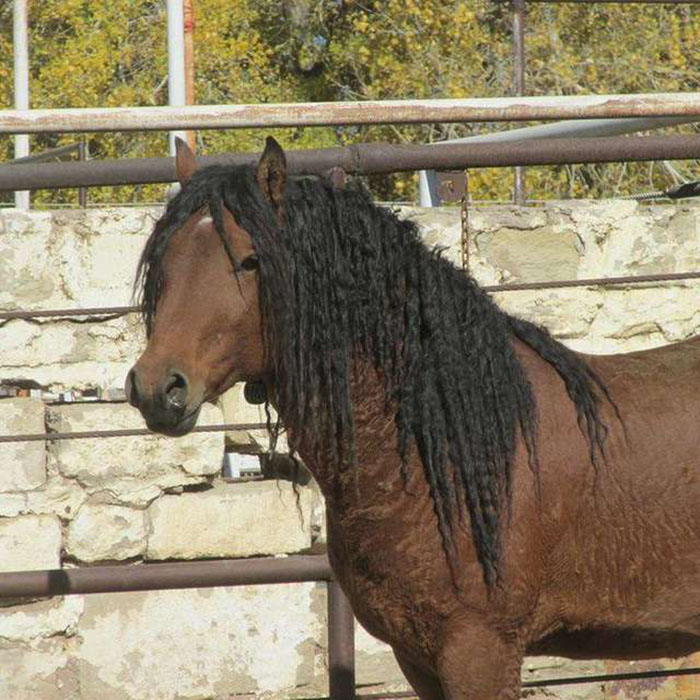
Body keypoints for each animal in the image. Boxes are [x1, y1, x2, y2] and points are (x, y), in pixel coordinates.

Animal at [125, 136, 700, 699]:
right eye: (165, 262)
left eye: (249, 261)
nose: (158, 388)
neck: (448, 448)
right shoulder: (417, 656)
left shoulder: (481, 652)